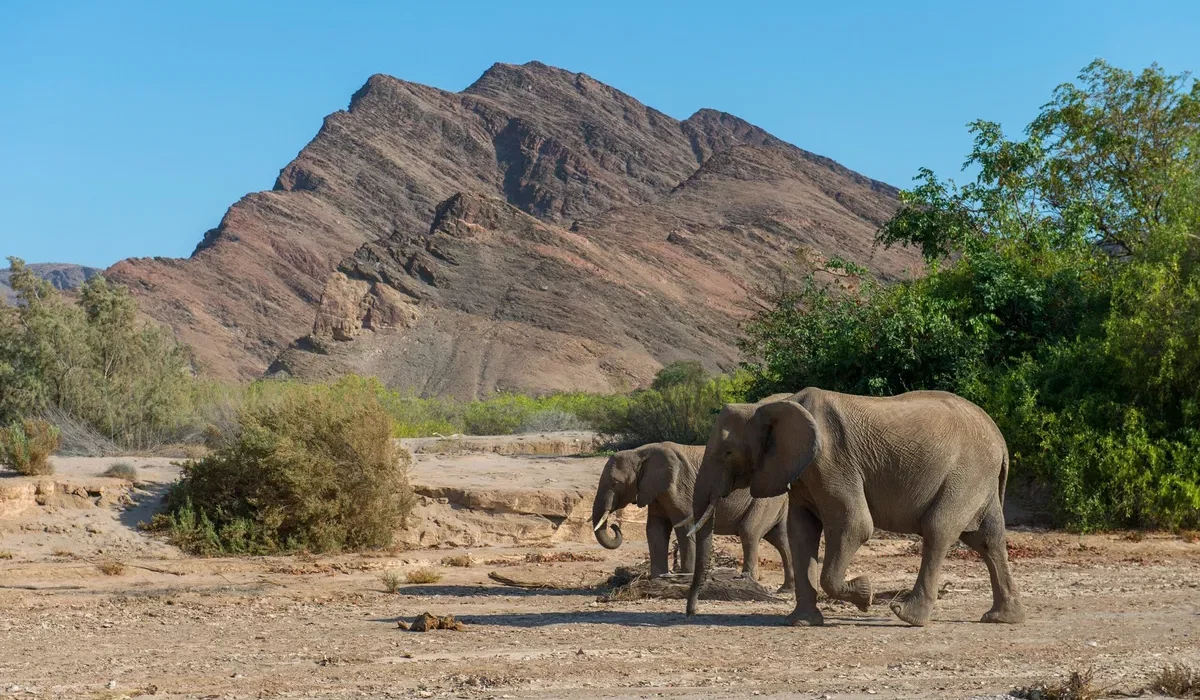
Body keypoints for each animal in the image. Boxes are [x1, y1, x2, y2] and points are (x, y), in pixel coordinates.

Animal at [590, 441, 796, 588]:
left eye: (615, 483)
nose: (615, 526)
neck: (639, 452)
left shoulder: (679, 486)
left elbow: (684, 526)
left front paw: (685, 576)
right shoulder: (655, 491)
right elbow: (655, 530)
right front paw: (658, 579)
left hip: (764, 499)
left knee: (749, 533)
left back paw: (748, 580)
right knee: (781, 539)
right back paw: (786, 589)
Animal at [691, 389, 1027, 629]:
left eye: (728, 452)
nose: (691, 611)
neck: (774, 404)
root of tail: (1001, 441)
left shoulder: (832, 462)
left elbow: (854, 525)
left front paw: (865, 595)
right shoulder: (802, 472)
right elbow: (801, 533)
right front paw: (800, 622)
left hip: (966, 474)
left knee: (938, 529)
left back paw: (906, 615)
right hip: (978, 480)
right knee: (987, 539)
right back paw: (1001, 618)